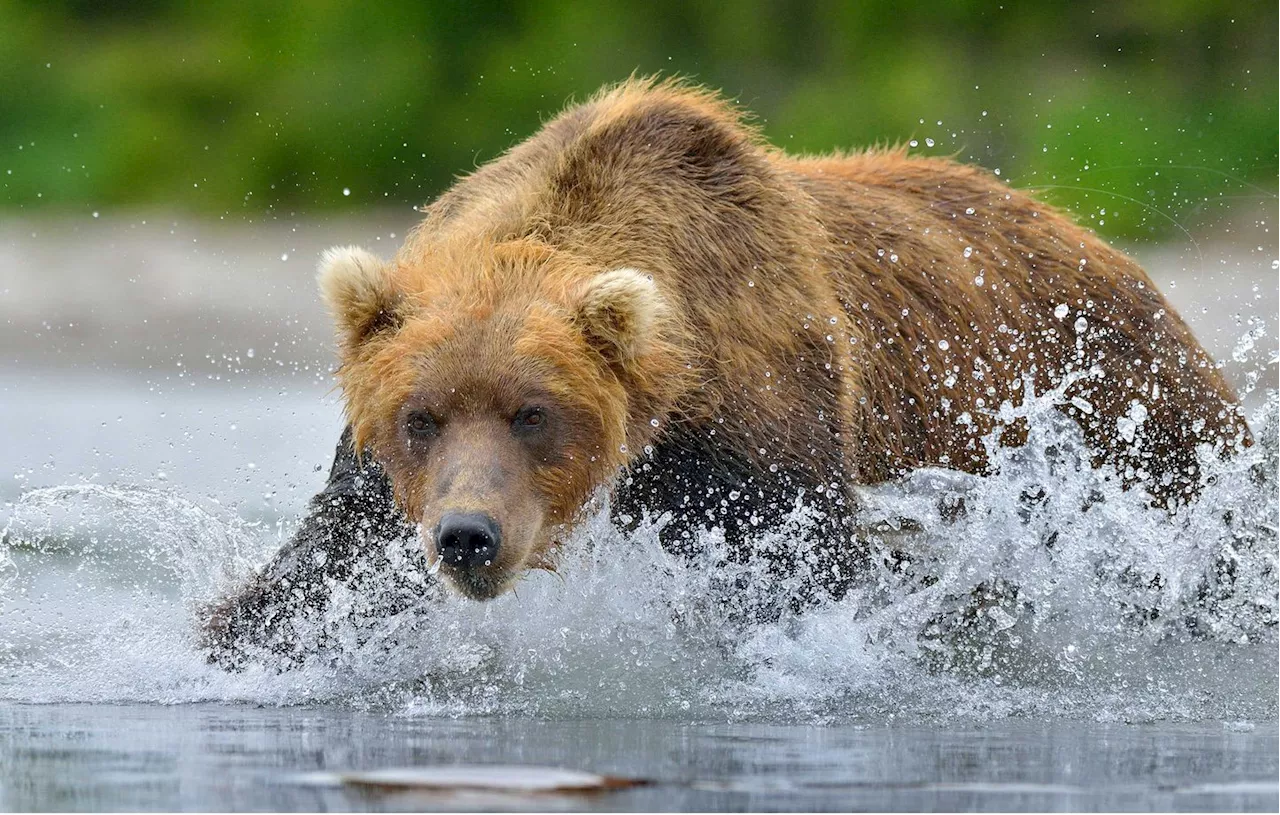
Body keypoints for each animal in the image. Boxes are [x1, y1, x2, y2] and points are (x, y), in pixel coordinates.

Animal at [202, 76, 1249, 660]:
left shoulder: (767, 414)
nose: (467, 535)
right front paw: (234, 640)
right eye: (420, 416)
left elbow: (806, 574)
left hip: (1131, 416)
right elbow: (321, 566)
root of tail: (1117, 255)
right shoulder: (377, 483)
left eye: (534, 412)